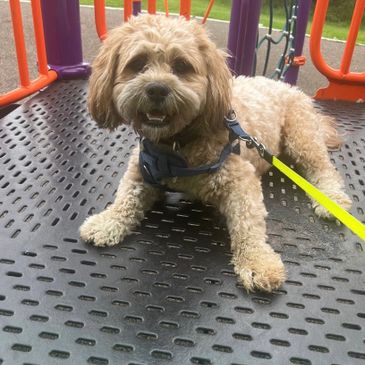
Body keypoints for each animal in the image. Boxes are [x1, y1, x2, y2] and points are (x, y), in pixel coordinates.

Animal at [79, 14, 350, 292]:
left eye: (181, 65)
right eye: (138, 63)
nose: (156, 89)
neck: (177, 145)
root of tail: (286, 86)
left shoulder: (241, 180)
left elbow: (248, 225)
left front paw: (258, 262)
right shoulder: (140, 173)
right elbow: (125, 198)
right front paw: (107, 221)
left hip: (301, 134)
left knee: (323, 169)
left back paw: (332, 200)